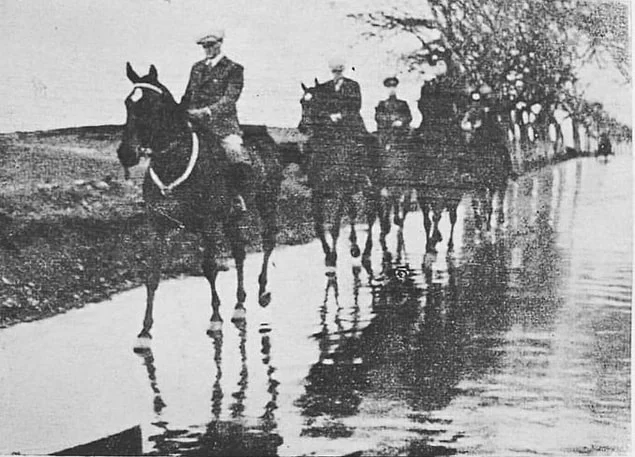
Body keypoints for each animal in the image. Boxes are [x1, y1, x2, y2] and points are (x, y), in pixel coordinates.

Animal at [116, 65, 284, 342]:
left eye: (153, 105)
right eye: (128, 103)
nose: (126, 153)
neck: (173, 164)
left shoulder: (209, 225)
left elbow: (210, 267)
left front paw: (215, 319)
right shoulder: (156, 226)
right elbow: (152, 274)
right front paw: (145, 330)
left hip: (267, 202)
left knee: (268, 241)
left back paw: (262, 291)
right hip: (233, 217)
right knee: (239, 253)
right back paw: (239, 305)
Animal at [300, 80, 380, 270]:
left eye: (317, 102)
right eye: (302, 102)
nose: (303, 127)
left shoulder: (340, 192)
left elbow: (335, 226)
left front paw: (332, 256)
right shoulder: (317, 192)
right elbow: (318, 225)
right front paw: (327, 252)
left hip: (370, 190)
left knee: (370, 217)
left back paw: (366, 253)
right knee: (353, 212)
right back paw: (355, 246)